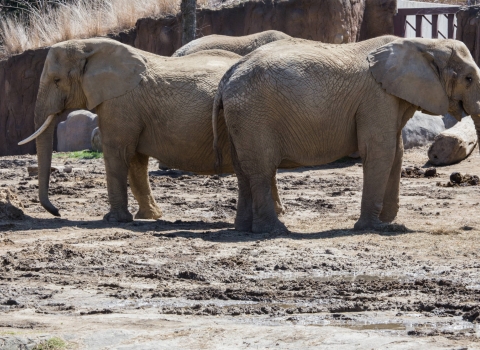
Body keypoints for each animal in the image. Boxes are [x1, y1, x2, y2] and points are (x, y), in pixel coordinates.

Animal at [17, 38, 284, 223]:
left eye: (57, 81)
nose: (58, 212)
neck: (91, 46)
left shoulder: (120, 103)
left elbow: (117, 153)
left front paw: (114, 220)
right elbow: (135, 158)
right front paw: (150, 217)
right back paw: (278, 213)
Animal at [213, 35, 480, 234]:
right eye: (468, 78)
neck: (424, 44)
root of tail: (228, 75)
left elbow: (396, 151)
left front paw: (387, 221)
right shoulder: (377, 97)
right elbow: (380, 150)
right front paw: (375, 227)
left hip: (241, 117)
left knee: (243, 170)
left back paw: (243, 228)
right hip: (253, 114)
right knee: (262, 168)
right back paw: (274, 231)